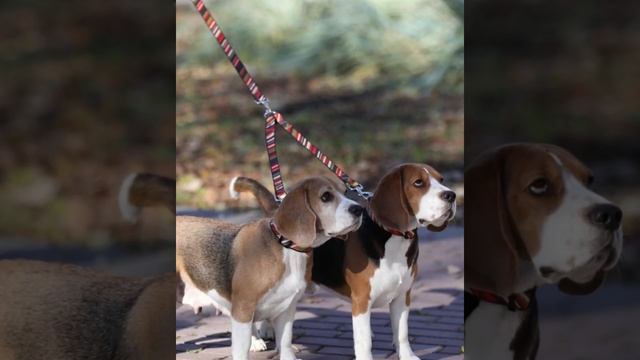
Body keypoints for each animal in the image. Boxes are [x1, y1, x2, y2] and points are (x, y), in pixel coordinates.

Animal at [178, 176, 362, 360]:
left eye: (345, 192)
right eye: (325, 197)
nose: (358, 209)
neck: (286, 247)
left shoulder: (287, 308)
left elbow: (285, 342)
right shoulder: (242, 308)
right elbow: (241, 348)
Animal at [230, 165, 456, 360]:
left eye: (442, 180)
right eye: (418, 183)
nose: (452, 195)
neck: (394, 239)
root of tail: (276, 212)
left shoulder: (402, 296)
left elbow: (402, 334)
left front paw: (408, 356)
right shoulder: (362, 300)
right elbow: (364, 342)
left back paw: (267, 329)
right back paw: (255, 340)